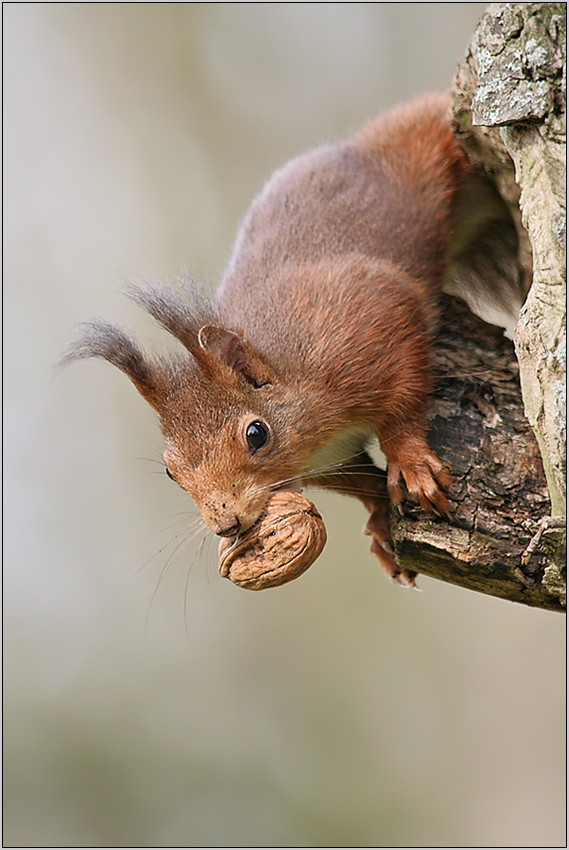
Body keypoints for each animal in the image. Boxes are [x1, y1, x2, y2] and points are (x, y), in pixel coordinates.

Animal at [64, 93, 520, 584]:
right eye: (170, 471)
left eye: (256, 434)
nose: (226, 523)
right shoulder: (326, 460)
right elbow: (363, 483)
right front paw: (381, 521)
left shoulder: (373, 324)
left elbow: (404, 400)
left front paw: (411, 462)